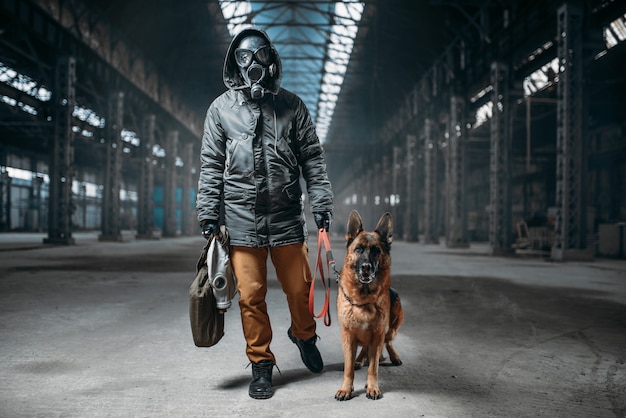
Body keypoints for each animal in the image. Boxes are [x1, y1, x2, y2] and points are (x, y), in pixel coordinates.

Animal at [334, 211, 402, 400]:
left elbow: (373, 367)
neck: (363, 299)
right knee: (365, 348)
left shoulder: (378, 334)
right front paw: (346, 388)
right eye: (358, 249)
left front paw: (372, 387)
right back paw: (359, 359)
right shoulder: (348, 335)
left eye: (376, 250)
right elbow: (348, 368)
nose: (366, 267)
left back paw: (393, 357)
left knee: (387, 341)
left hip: (392, 326)